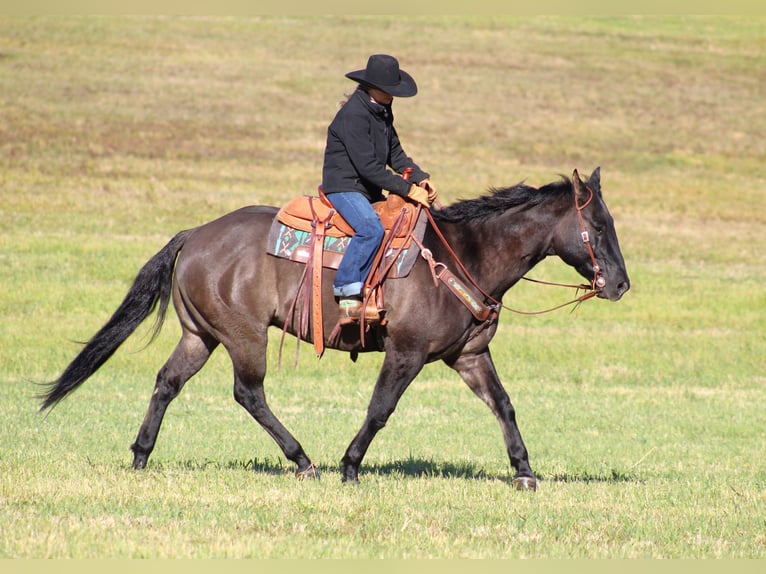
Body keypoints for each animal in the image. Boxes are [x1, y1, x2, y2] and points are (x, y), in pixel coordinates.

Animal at [39, 166, 632, 490]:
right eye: (598, 226)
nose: (622, 284)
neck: (464, 256)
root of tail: (196, 233)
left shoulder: (468, 356)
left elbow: (504, 406)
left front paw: (524, 471)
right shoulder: (405, 353)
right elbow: (380, 409)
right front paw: (350, 465)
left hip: (199, 336)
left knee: (167, 383)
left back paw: (141, 456)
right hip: (244, 336)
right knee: (248, 393)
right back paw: (304, 461)